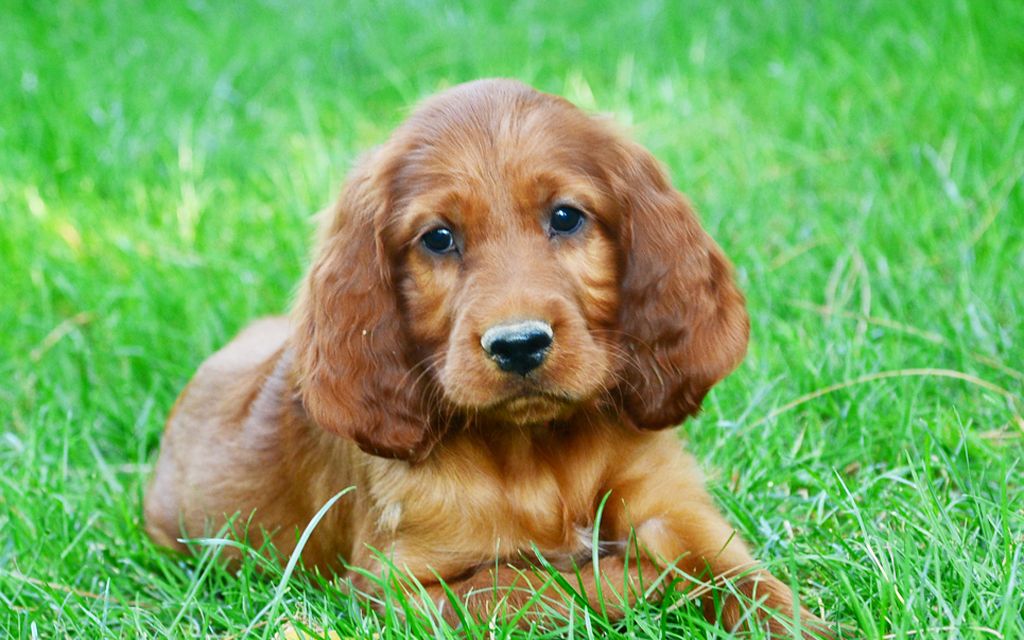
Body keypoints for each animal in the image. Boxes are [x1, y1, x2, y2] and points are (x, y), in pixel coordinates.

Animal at [144, 78, 831, 634]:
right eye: (439, 238)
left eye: (566, 217)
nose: (518, 344)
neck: (538, 458)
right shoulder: (396, 589)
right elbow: (524, 587)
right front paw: (641, 578)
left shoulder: (678, 508)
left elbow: (748, 580)